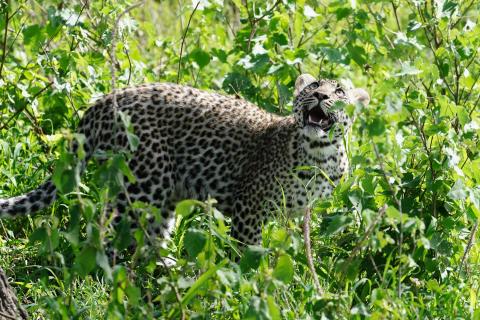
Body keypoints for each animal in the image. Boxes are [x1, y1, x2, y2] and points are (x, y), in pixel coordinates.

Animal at [0, 74, 372, 246]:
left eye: (339, 91)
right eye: (313, 85)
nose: (320, 96)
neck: (320, 156)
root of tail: (102, 101)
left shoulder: (294, 213)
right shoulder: (249, 208)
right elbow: (247, 254)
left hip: (162, 195)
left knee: (150, 240)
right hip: (145, 182)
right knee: (112, 235)